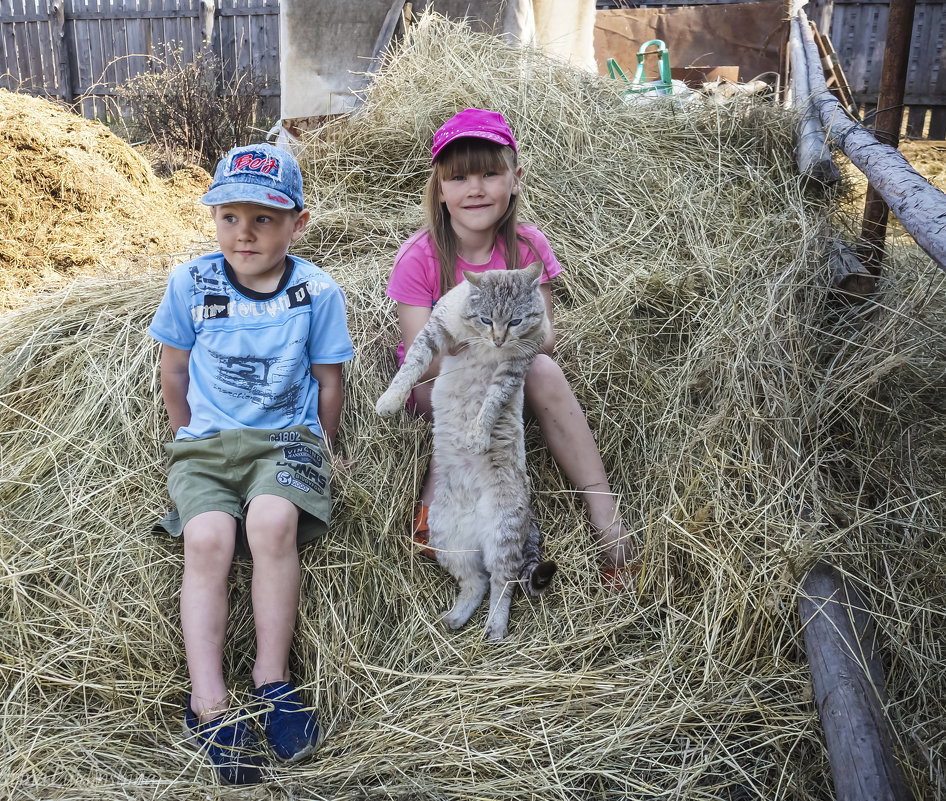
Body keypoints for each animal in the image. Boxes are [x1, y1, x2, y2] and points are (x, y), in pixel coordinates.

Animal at [374, 266, 556, 640]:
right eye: (486, 319)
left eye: (515, 321)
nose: (498, 339)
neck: (486, 344)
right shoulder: (434, 333)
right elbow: (409, 367)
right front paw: (389, 401)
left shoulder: (514, 367)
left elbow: (491, 403)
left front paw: (477, 437)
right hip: (447, 538)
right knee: (477, 582)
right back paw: (455, 618)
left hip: (503, 534)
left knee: (503, 582)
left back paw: (494, 629)